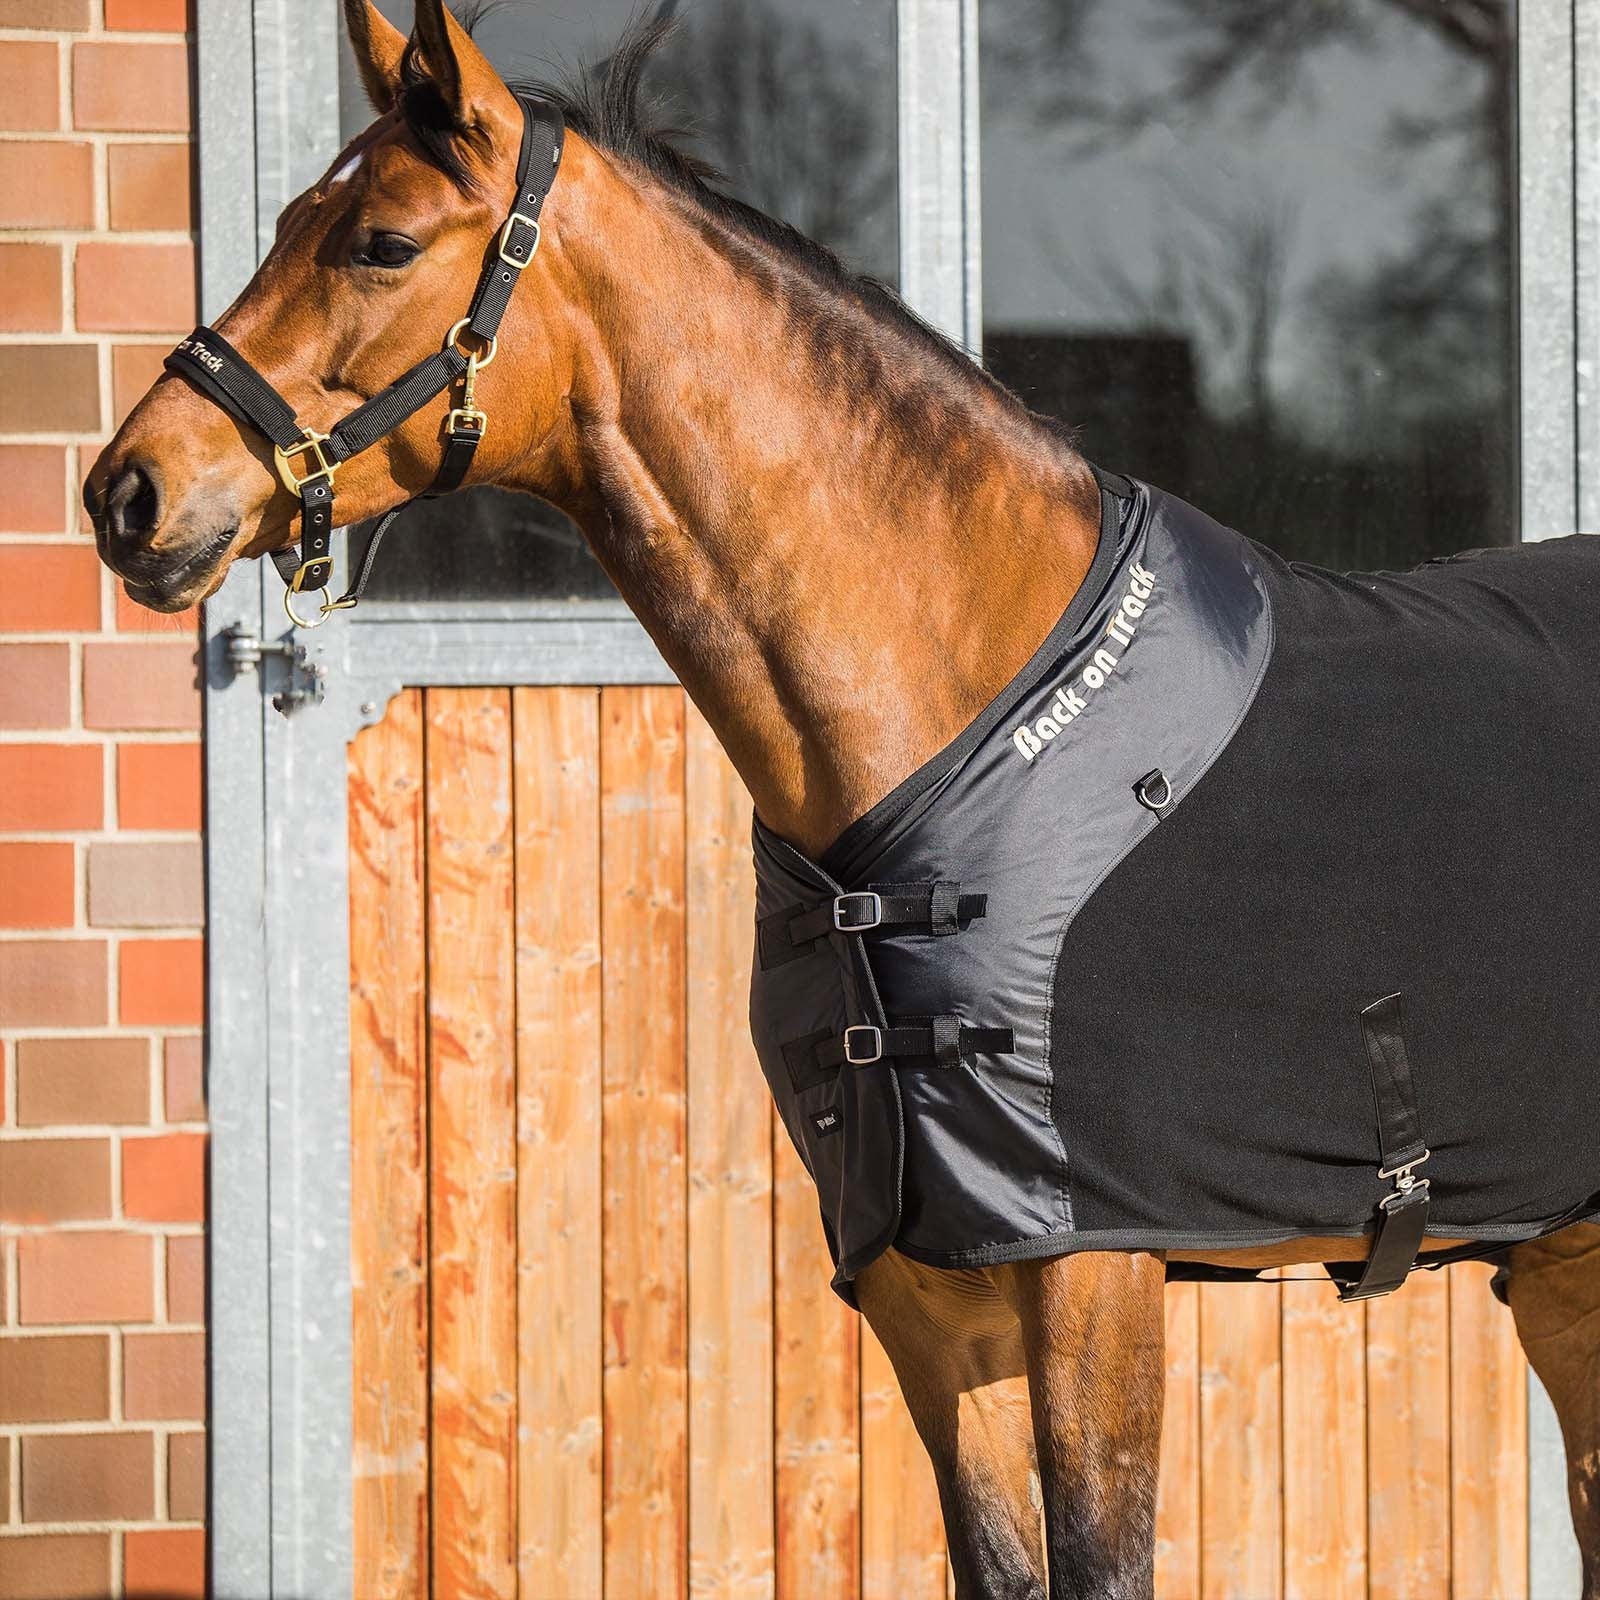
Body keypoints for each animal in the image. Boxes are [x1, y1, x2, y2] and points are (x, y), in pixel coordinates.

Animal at [84, 2, 1600, 1593]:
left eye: (380, 242)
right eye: (284, 224)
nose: (128, 493)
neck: (967, 725)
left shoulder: (1094, 1271)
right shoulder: (930, 1294)